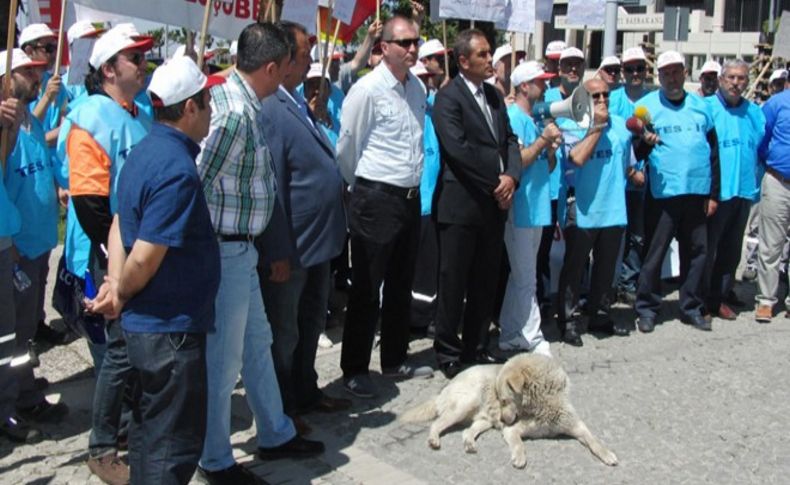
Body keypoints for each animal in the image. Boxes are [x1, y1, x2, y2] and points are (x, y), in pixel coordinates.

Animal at [402, 354, 620, 466]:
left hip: (484, 420)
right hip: (465, 405)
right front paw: (519, 457)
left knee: (466, 432)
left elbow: (594, 439)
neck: (541, 404)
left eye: (505, 399)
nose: (502, 419)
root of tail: (446, 387)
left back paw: (470, 444)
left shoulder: (575, 425)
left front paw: (607, 453)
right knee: (436, 423)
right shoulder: (512, 430)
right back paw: (433, 439)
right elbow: (519, 443)